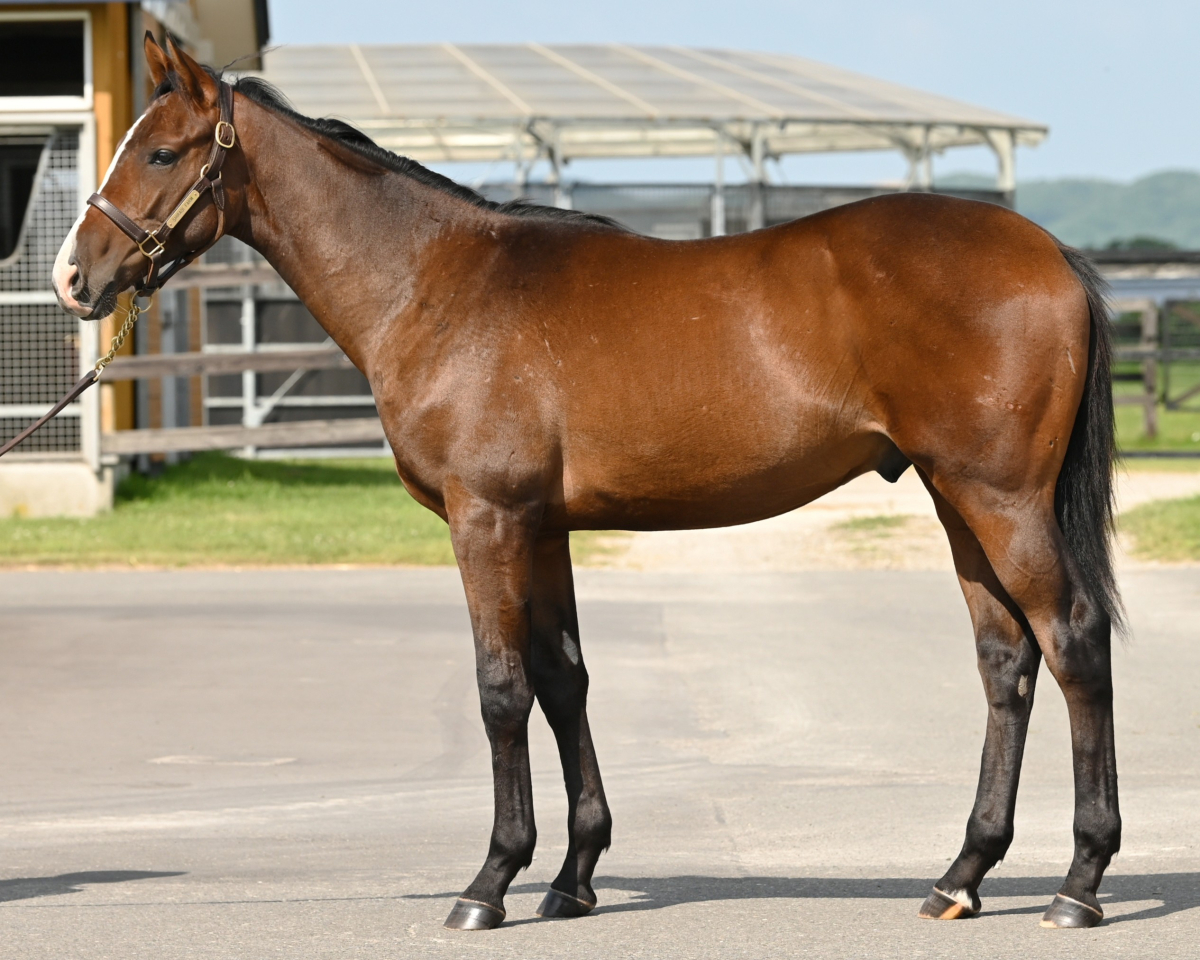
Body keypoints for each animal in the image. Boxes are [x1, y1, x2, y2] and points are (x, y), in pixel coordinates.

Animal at [52, 34, 1122, 932]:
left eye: (160, 154)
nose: (72, 277)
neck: (437, 283)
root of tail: (1053, 254)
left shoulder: (485, 520)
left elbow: (500, 689)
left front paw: (490, 883)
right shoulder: (543, 526)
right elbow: (563, 679)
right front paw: (572, 878)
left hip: (999, 501)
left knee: (1072, 641)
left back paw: (1078, 884)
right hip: (956, 501)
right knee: (1005, 661)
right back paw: (962, 876)